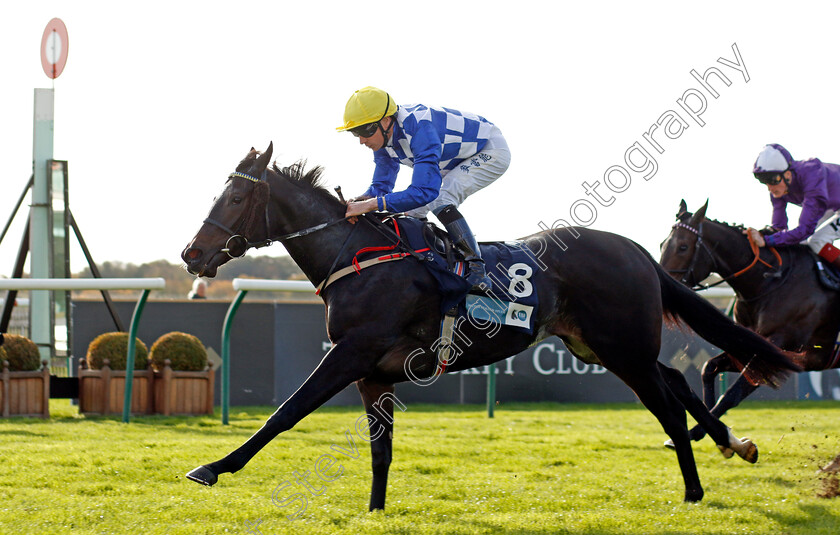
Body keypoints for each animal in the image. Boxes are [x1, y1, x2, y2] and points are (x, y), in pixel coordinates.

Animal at [180, 144, 796, 508]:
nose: (192, 254)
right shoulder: (373, 373)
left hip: (624, 350)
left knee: (667, 406)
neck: (360, 256)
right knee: (677, 379)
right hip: (603, 347)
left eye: (237, 195)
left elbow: (286, 412)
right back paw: (734, 444)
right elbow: (381, 449)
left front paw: (213, 467)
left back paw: (693, 490)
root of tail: (638, 251)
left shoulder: (350, 354)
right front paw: (376, 511)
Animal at [660, 199, 836, 442]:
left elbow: (732, 394)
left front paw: (700, 432)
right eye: (661, 244)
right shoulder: (746, 342)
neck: (770, 282)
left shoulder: (780, 348)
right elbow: (708, 367)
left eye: (683, 247)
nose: (660, 284)